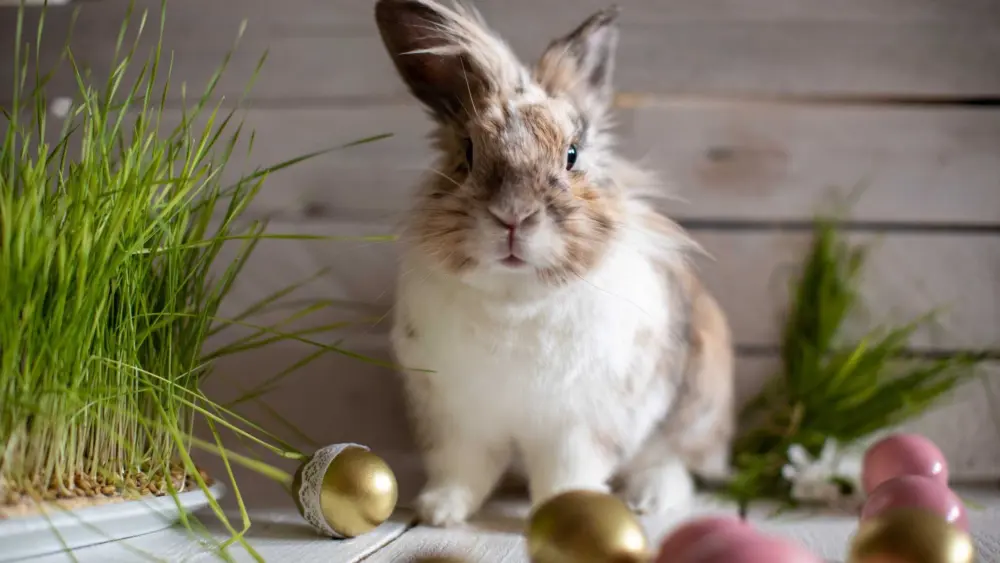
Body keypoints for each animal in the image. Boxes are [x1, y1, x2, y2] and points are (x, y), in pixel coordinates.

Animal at [374, 0, 735, 527]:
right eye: (468, 152)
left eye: (572, 155)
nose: (514, 215)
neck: (515, 298)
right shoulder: (456, 420)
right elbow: (461, 469)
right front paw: (440, 511)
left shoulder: (581, 426)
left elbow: (568, 472)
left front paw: (571, 513)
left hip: (697, 406)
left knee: (672, 459)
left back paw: (650, 498)